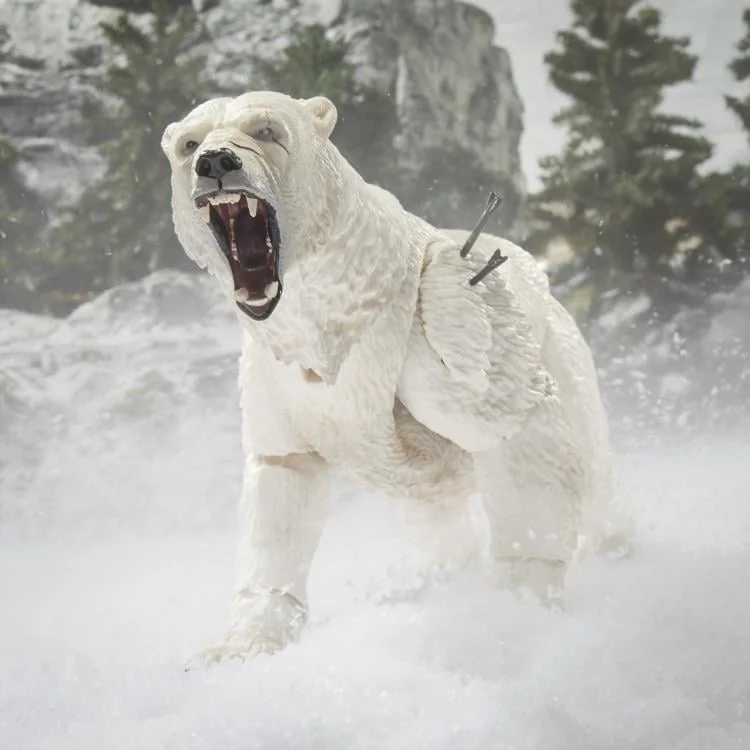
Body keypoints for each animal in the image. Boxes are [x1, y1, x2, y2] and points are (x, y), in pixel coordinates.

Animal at [161, 90, 618, 666]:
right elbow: (283, 474)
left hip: (562, 347)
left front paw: (516, 613)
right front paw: (237, 645)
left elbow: (505, 418)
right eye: (189, 143)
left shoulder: (439, 309)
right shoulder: (273, 371)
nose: (217, 163)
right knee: (435, 521)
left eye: (266, 130)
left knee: (591, 464)